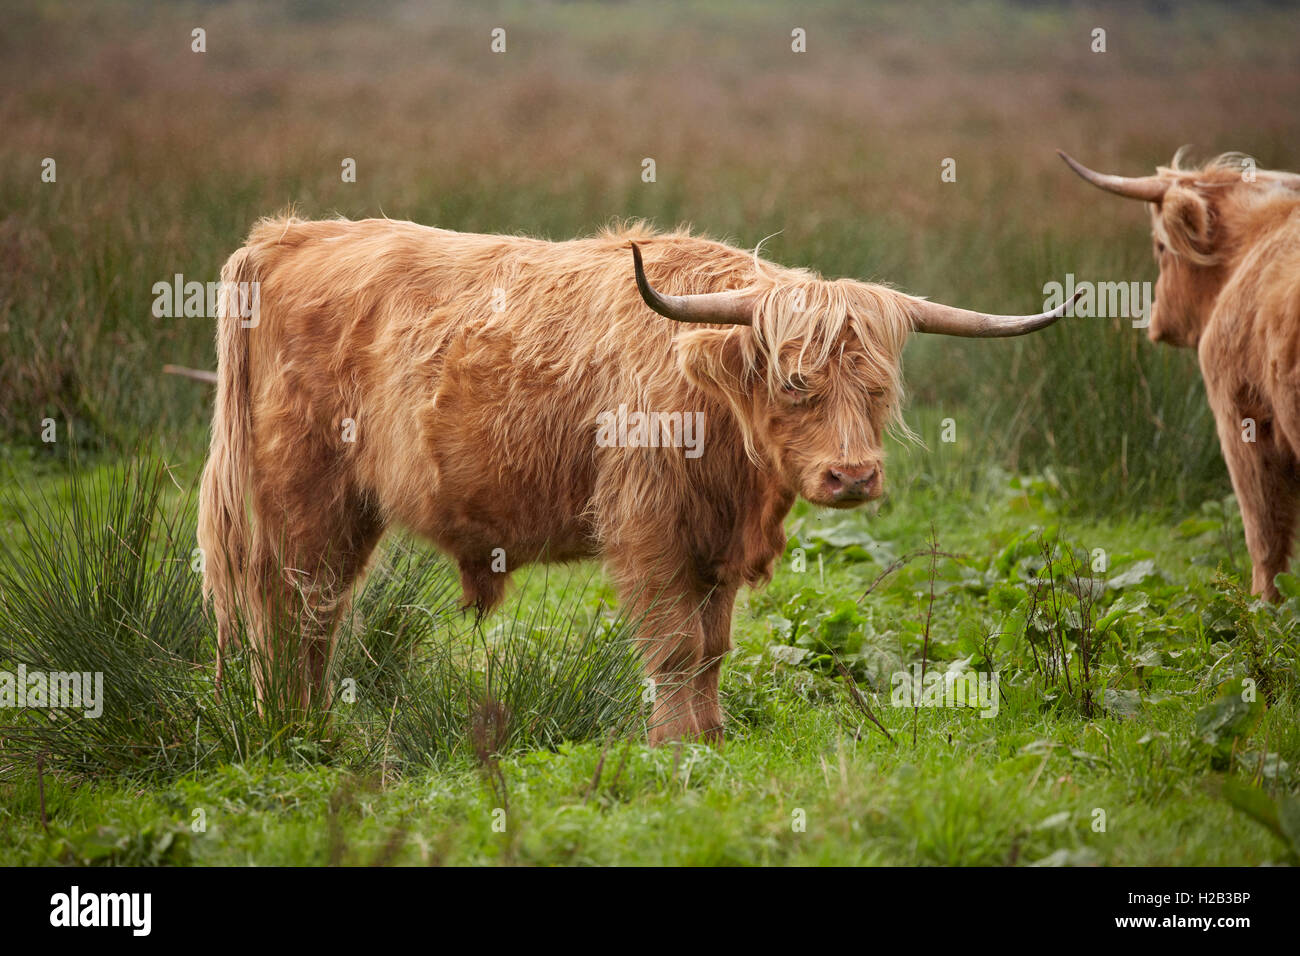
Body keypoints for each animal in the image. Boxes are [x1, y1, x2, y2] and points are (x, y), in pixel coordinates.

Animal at [200, 214, 1076, 738]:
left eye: (879, 390)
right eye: (797, 383)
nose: (852, 476)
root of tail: (291, 237)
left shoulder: (715, 544)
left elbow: (714, 644)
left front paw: (712, 735)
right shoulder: (648, 528)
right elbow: (676, 643)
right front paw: (674, 743)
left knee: (316, 615)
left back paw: (311, 724)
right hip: (303, 496)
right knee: (291, 611)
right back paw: (291, 728)